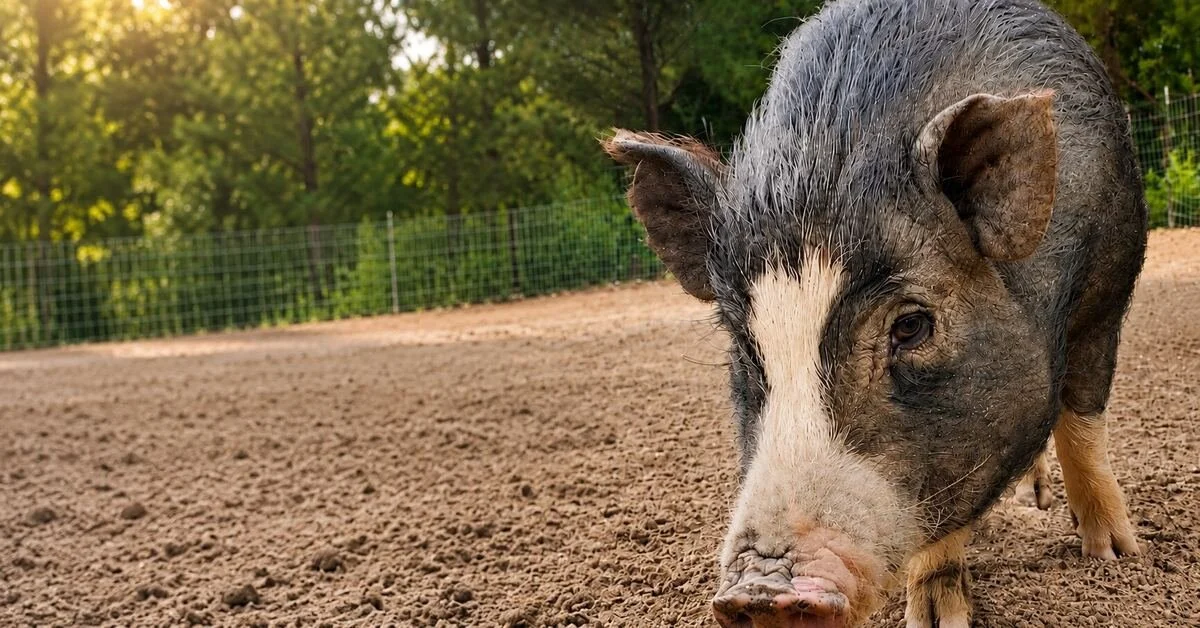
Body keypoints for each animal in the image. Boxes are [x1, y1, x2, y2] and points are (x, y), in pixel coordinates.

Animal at [603, 0, 1146, 626]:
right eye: (745, 346)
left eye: (910, 326)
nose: (759, 594)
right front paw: (934, 616)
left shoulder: (1111, 286)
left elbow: (1081, 420)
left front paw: (1117, 555)